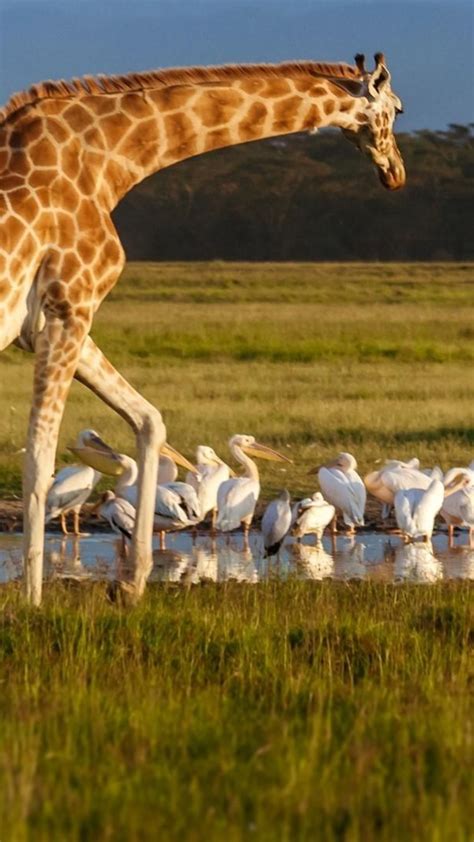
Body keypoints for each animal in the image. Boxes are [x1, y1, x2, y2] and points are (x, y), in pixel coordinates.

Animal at [0, 52, 408, 600]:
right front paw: (32, 600)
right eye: (399, 110)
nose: (396, 172)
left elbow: (149, 420)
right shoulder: (72, 304)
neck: (108, 161)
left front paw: (131, 585)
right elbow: (39, 460)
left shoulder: (49, 324)